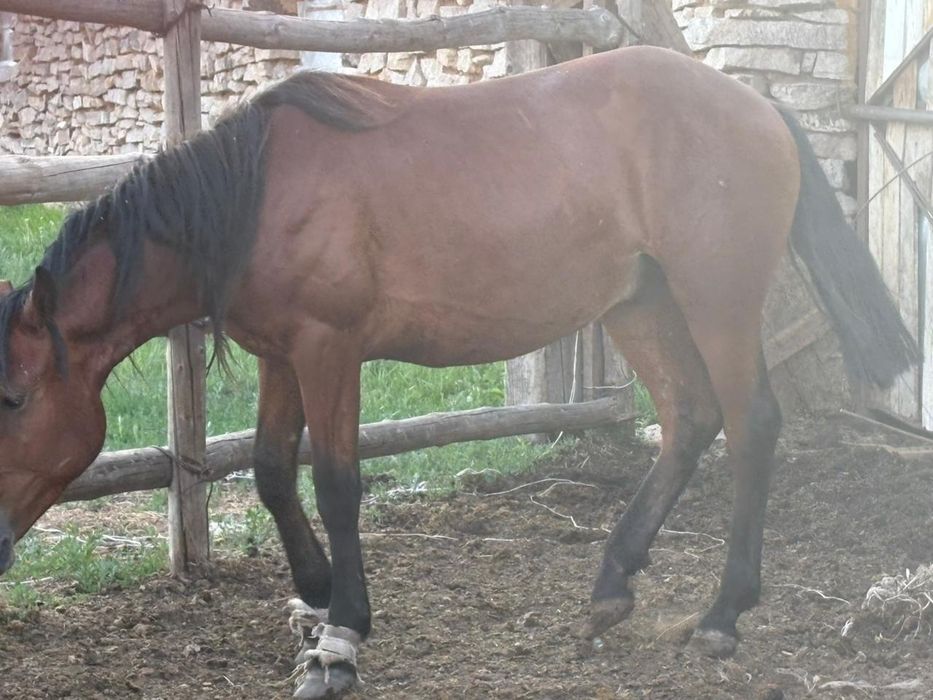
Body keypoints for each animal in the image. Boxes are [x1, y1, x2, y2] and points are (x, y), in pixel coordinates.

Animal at [0, 46, 917, 698]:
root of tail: (756, 105)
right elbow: (268, 471)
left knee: (751, 424)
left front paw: (343, 637)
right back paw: (611, 584)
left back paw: (723, 615)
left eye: (12, 395)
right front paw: (315, 596)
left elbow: (336, 482)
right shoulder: (280, 358)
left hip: (714, 299)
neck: (256, 196)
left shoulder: (329, 350)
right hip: (639, 304)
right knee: (689, 419)